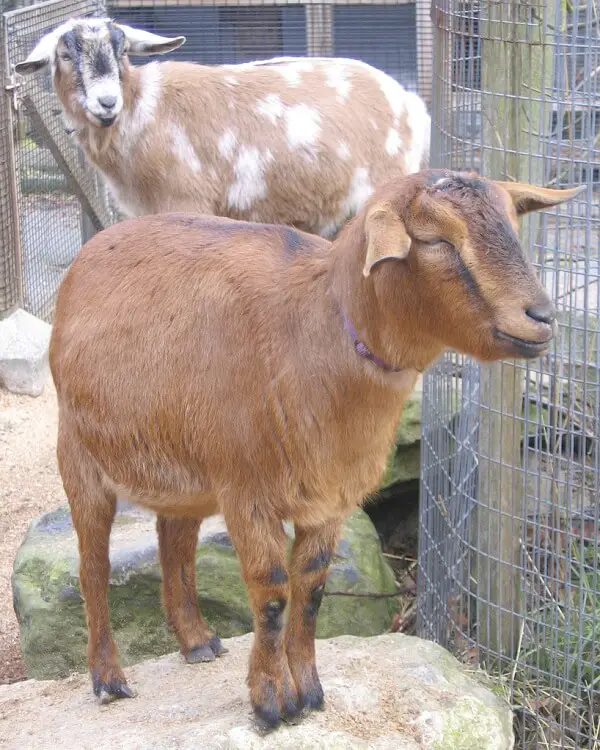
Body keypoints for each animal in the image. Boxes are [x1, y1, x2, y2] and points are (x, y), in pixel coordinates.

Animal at [15, 17, 432, 236]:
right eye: (65, 55)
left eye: (122, 51)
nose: (106, 102)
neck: (141, 110)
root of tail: (411, 103)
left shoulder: (186, 203)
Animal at [49, 169, 584, 728]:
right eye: (437, 239)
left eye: (512, 227)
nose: (541, 317)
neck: (315, 331)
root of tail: (91, 251)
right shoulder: (246, 490)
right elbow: (271, 593)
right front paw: (270, 702)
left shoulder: (330, 499)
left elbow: (310, 592)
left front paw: (308, 692)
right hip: (78, 452)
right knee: (93, 567)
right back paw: (108, 679)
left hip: (185, 466)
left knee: (175, 540)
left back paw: (196, 642)